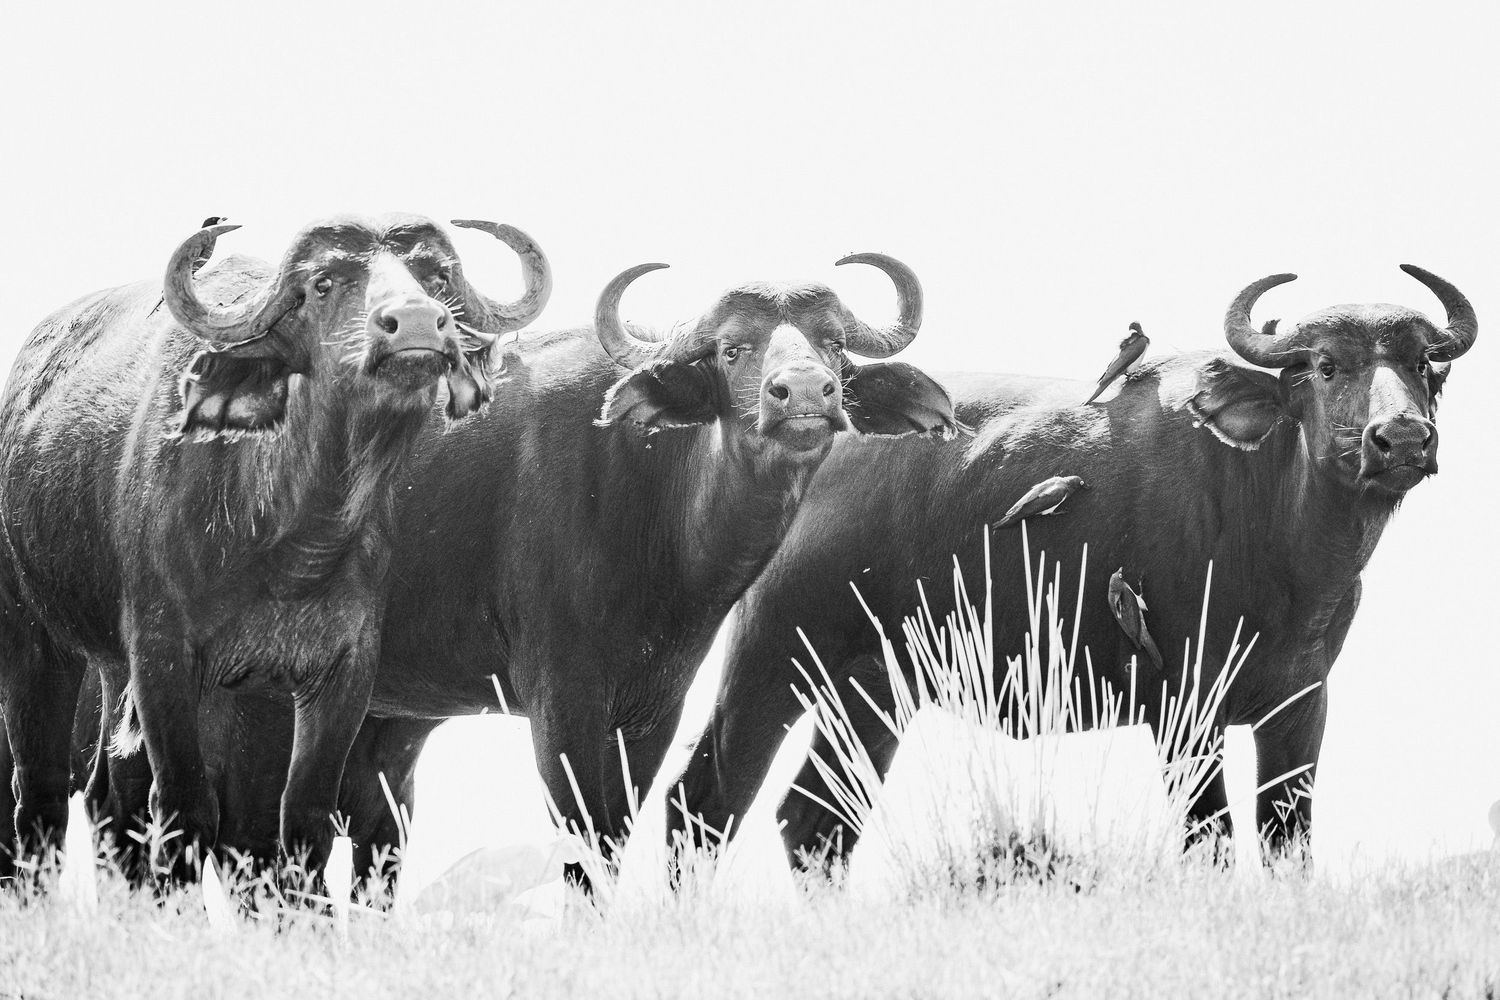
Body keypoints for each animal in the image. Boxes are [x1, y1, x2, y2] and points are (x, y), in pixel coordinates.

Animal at [0, 215, 550, 876]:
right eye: (322, 283)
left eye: (436, 276)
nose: (418, 324)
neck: (288, 545)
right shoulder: (161, 658)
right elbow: (186, 809)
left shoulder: (336, 674)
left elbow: (301, 820)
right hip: (35, 638)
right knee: (43, 790)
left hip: (113, 669)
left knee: (115, 793)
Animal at [671, 267, 1475, 872]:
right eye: (1327, 366)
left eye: (1424, 368)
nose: (1402, 438)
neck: (1287, 559)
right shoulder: (1185, 713)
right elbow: (1211, 841)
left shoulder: (1301, 708)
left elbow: (1287, 842)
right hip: (771, 660)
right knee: (705, 799)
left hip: (875, 690)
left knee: (815, 823)